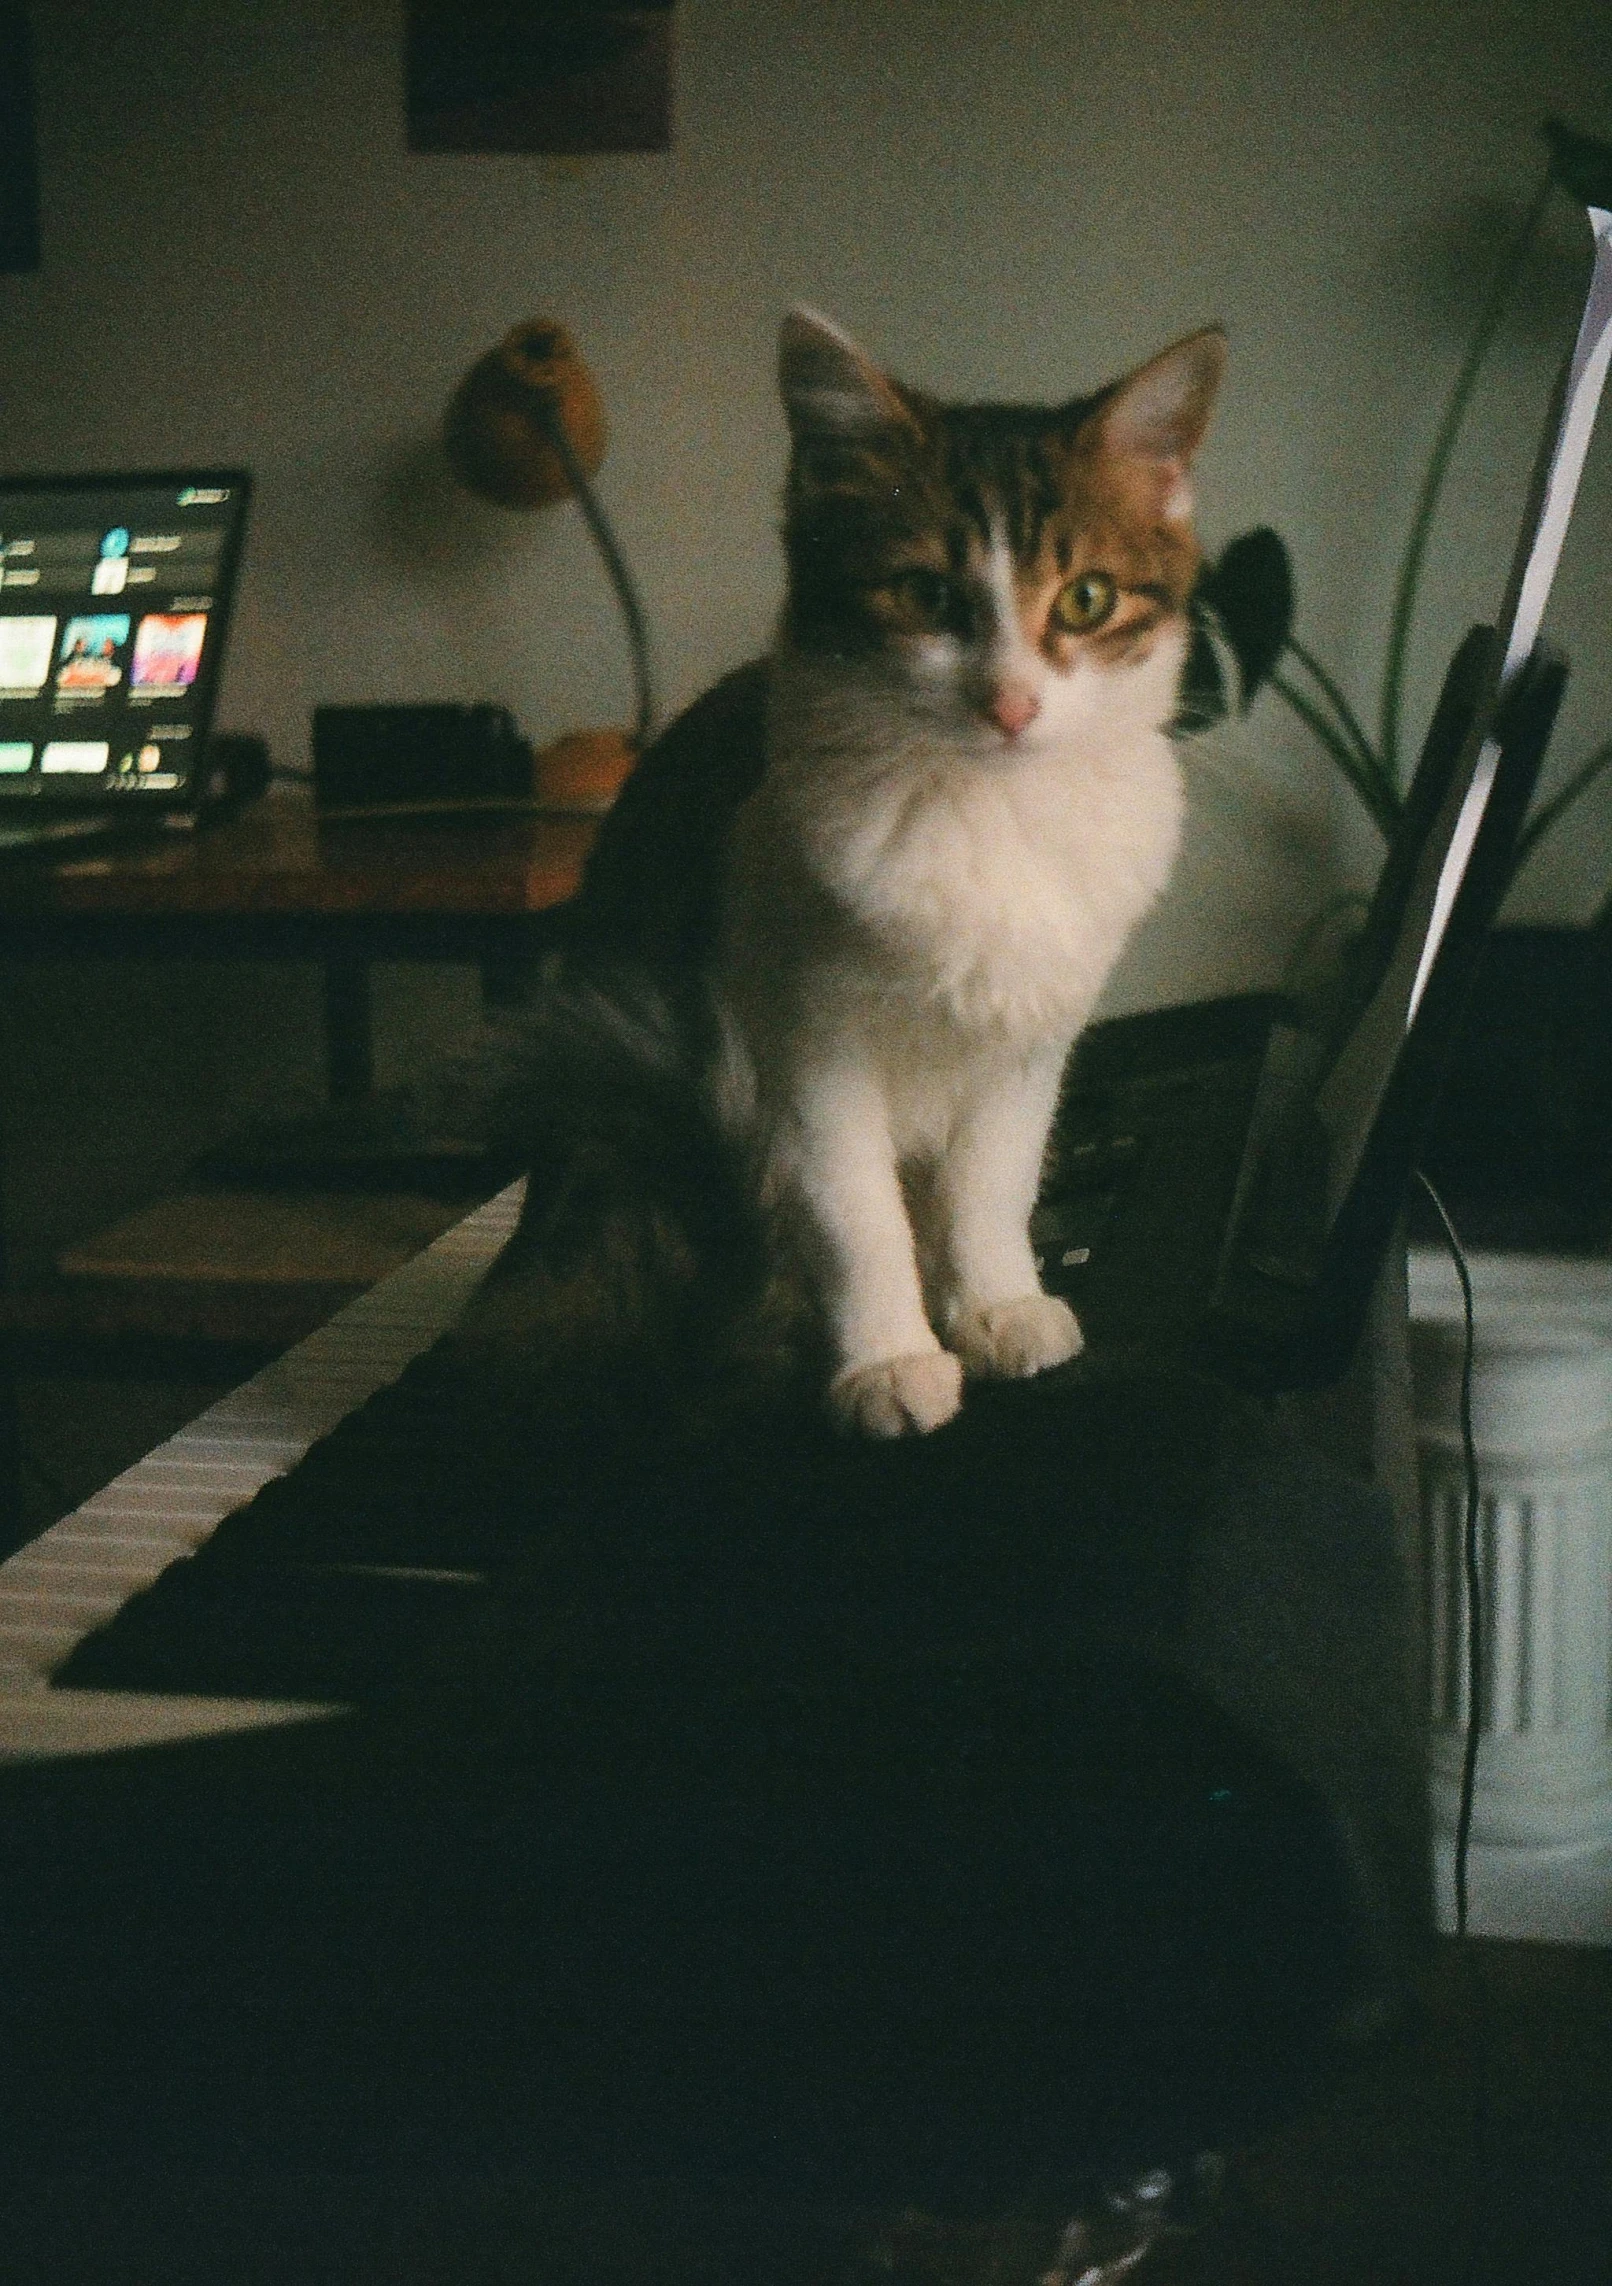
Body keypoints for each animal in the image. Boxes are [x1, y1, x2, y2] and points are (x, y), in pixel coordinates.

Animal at [477, 308, 1216, 1426]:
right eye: (925, 594)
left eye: (1085, 599)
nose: (1011, 704)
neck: (986, 810)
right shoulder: (804, 1048)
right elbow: (855, 1215)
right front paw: (887, 1358)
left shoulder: (1028, 1042)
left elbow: (992, 1185)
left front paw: (997, 1303)